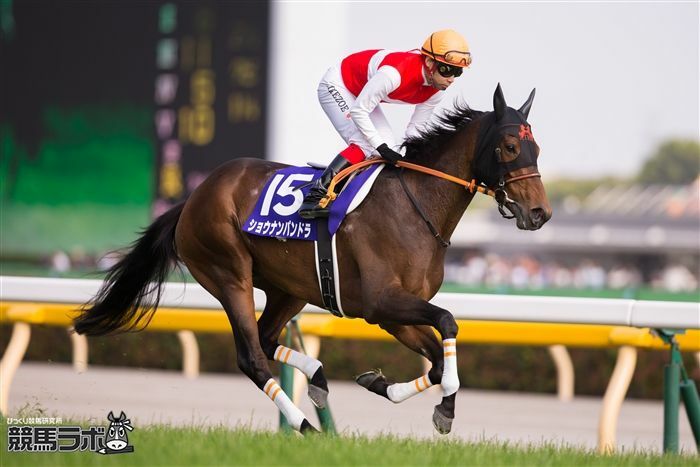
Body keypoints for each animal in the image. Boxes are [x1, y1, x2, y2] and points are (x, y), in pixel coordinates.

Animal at [72, 83, 552, 436]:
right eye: (510, 147)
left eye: (538, 149)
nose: (540, 213)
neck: (416, 204)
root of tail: (192, 199)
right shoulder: (381, 302)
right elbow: (449, 324)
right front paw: (446, 411)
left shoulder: (391, 313)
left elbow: (436, 361)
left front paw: (380, 384)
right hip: (229, 274)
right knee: (251, 355)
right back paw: (305, 426)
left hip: (289, 289)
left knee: (266, 338)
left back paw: (318, 380)